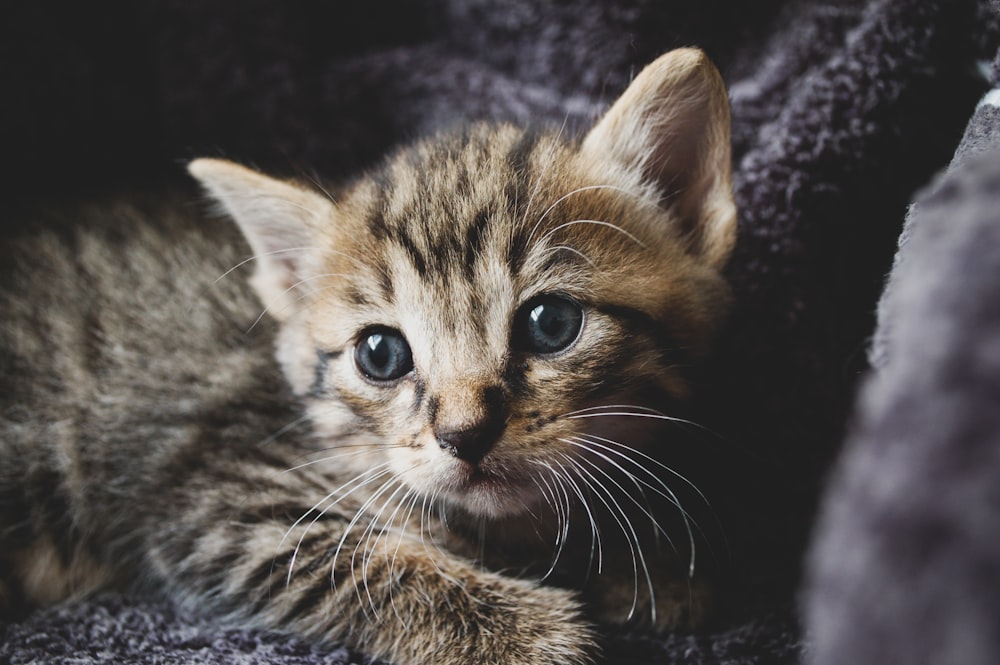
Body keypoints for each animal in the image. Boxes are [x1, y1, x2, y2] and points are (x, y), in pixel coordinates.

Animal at [0, 50, 736, 664]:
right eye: (381, 355)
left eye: (551, 324)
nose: (464, 433)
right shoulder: (216, 492)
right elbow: (358, 559)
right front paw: (528, 632)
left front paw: (652, 560)